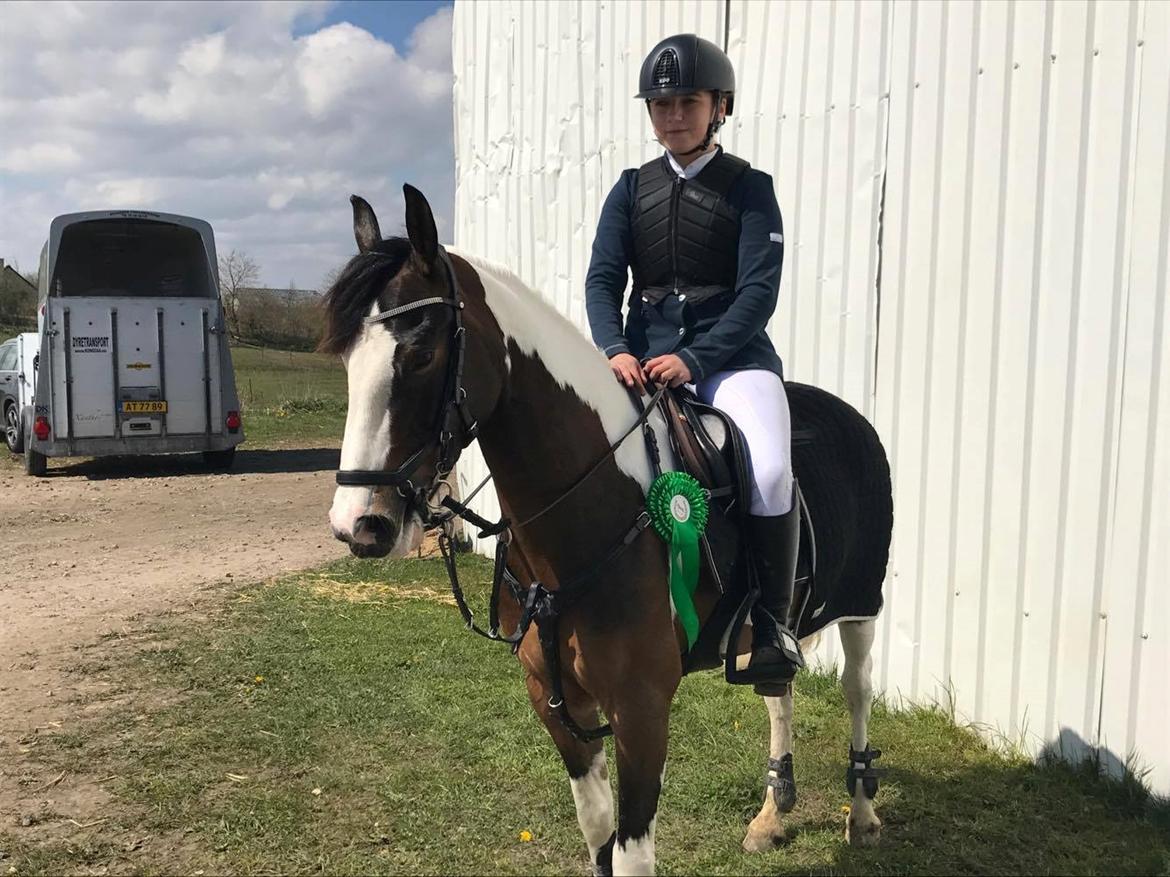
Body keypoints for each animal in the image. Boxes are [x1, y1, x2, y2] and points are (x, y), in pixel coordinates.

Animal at [324, 185, 892, 875]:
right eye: (346, 358)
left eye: (421, 354)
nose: (360, 525)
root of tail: (852, 417)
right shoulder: (556, 702)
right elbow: (597, 832)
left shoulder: (641, 709)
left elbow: (630, 853)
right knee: (777, 691)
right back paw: (770, 817)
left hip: (861, 607)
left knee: (857, 691)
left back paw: (862, 815)